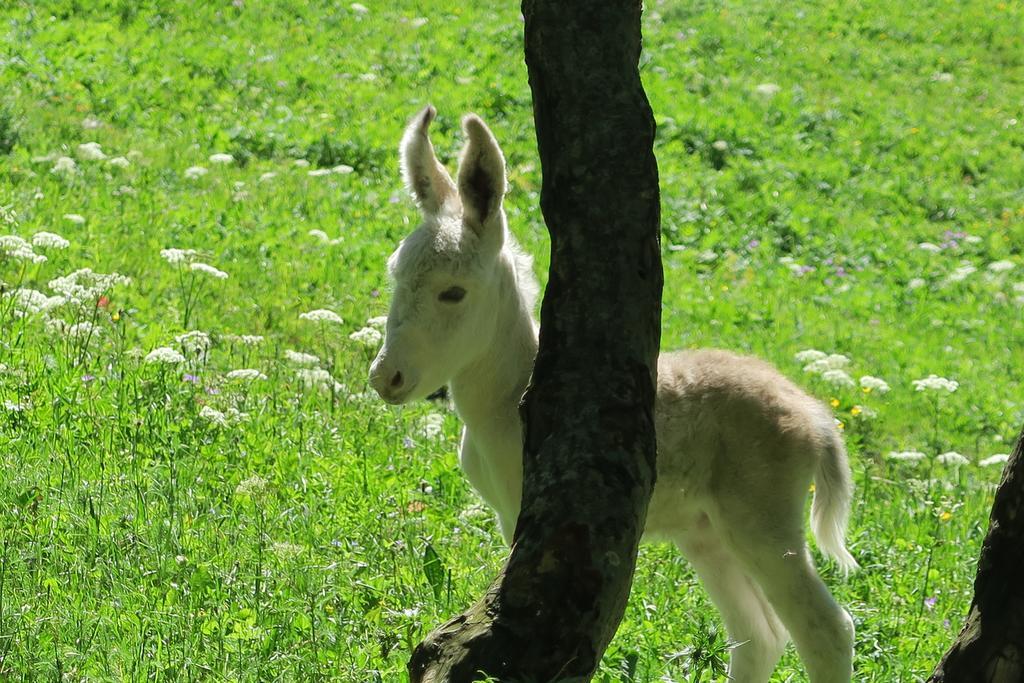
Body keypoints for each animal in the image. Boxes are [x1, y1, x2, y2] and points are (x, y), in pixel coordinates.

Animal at [368, 104, 856, 679]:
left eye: (452, 292)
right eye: (395, 275)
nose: (386, 378)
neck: (507, 400)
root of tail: (818, 418)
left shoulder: (529, 511)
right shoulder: (507, 512)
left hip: (763, 518)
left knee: (826, 629)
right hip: (706, 532)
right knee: (758, 635)